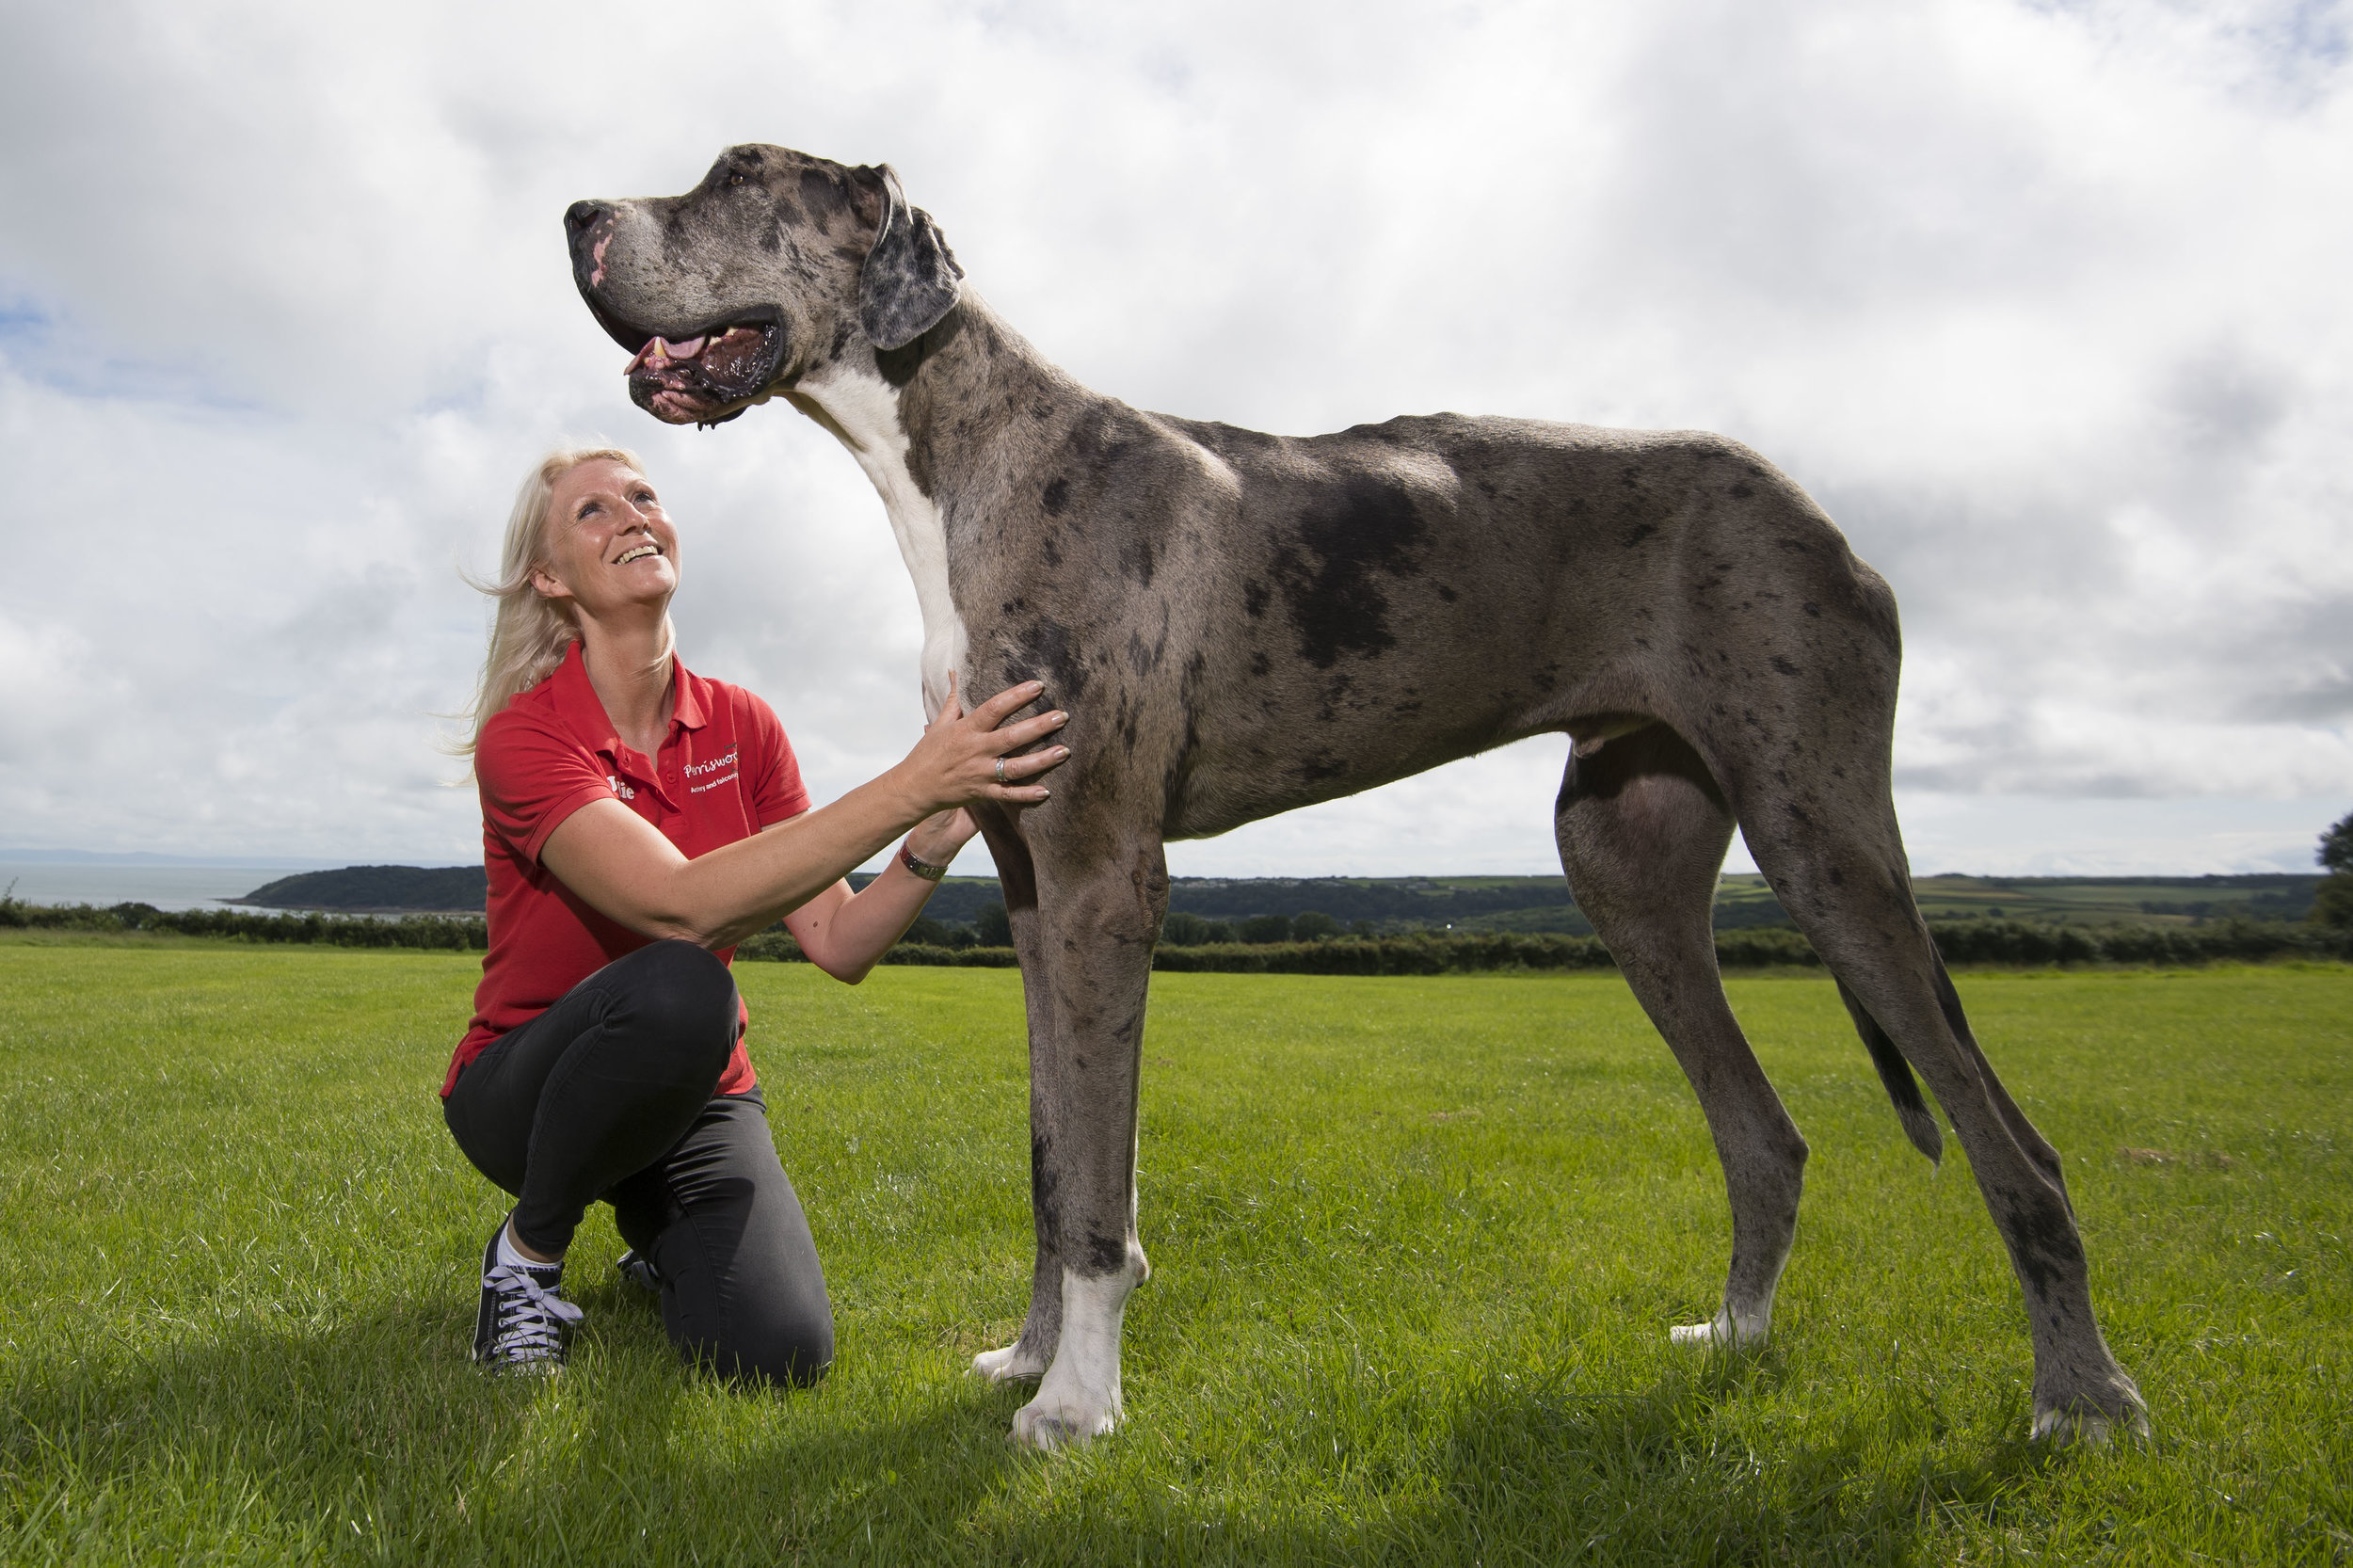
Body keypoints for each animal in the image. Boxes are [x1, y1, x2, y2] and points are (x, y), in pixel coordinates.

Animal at [565, 143, 2155, 1440]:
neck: (965, 453)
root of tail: (1824, 517)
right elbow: (1052, 1159)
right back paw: (1738, 1335)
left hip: (1824, 840)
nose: (576, 214)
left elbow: (1098, 1188)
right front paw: (1028, 1358)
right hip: (1623, 867)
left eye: (736, 173)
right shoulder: (1027, 888)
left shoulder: (1103, 880)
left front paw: (1078, 1405)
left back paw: (2082, 1399)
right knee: (1765, 1130)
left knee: (2019, 1148)